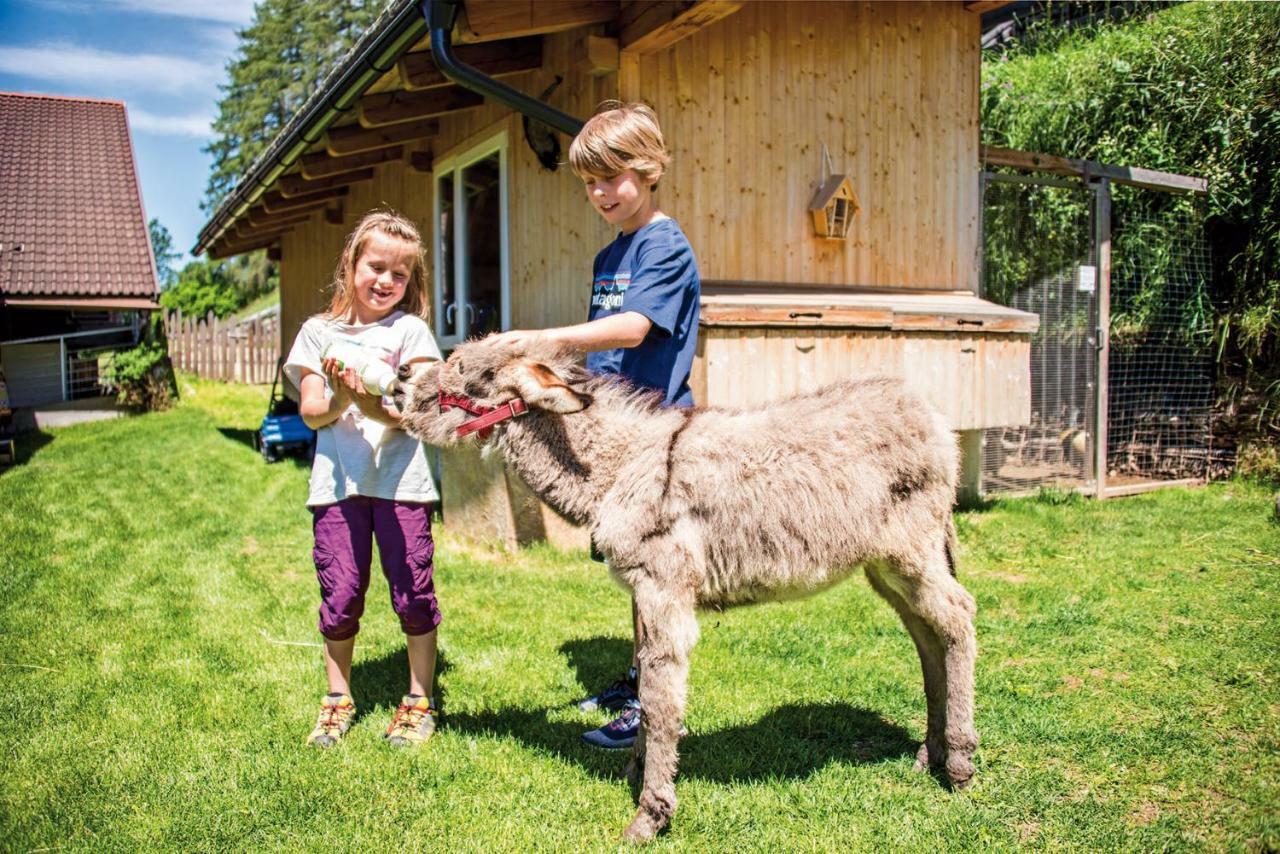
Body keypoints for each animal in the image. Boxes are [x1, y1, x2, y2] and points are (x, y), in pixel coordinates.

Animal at [399, 340, 977, 839]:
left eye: (463, 368)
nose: (402, 375)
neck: (620, 468)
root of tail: (933, 417)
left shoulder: (664, 589)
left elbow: (661, 697)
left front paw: (650, 815)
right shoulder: (641, 590)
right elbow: (646, 681)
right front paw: (637, 773)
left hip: (911, 550)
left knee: (958, 617)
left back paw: (960, 763)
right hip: (885, 566)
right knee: (927, 636)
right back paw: (930, 752)